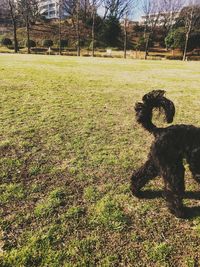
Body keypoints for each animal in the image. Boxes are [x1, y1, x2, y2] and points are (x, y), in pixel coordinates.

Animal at [131, 91, 200, 219]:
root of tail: (160, 130)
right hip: (173, 168)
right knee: (172, 192)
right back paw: (179, 212)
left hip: (154, 163)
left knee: (139, 174)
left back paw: (135, 192)